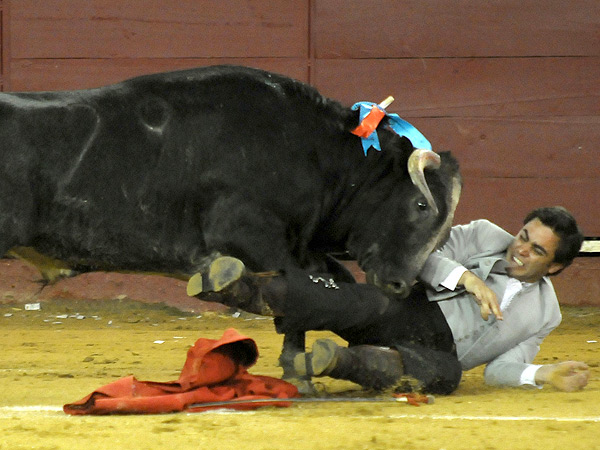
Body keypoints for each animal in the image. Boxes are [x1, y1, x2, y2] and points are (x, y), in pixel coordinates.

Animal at [0, 65, 462, 391]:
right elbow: (300, 298)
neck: (312, 152)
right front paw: (299, 376)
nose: (402, 284)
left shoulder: (300, 247)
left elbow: (320, 292)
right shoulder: (255, 239)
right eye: (421, 204)